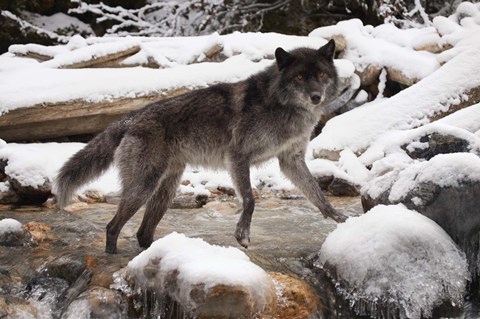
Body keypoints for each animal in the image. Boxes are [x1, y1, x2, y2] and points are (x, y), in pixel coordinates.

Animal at [55, 40, 344, 255]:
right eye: (299, 77)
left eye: (321, 75)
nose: (316, 96)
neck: (282, 107)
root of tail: (131, 118)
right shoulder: (237, 156)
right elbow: (250, 199)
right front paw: (242, 236)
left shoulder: (291, 160)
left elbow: (318, 194)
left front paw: (340, 219)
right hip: (143, 188)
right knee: (113, 226)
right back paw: (113, 255)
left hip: (164, 192)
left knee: (142, 233)